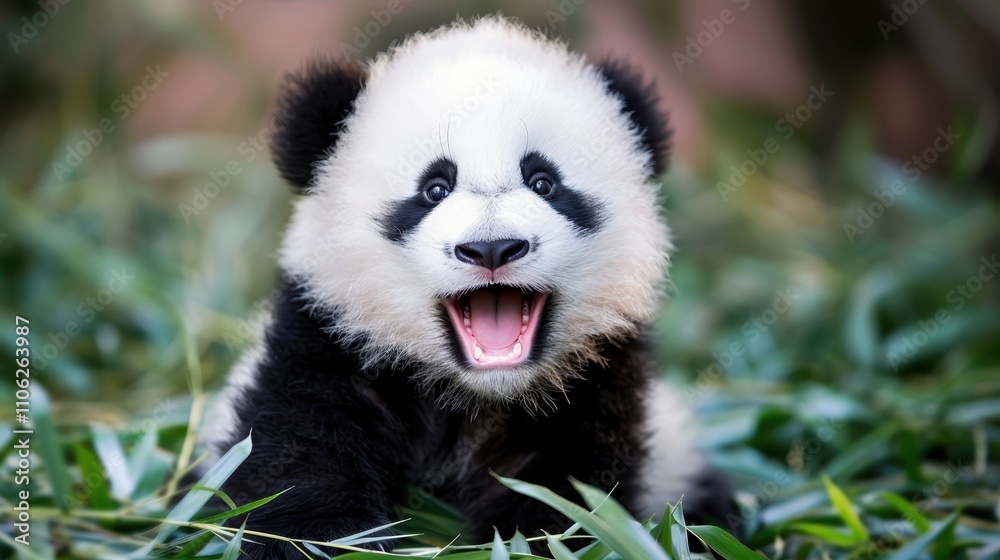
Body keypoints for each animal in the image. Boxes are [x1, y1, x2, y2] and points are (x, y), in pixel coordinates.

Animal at [209, 16, 734, 559]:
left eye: (543, 182)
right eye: (434, 189)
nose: (492, 248)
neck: (474, 396)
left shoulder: (596, 381)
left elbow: (570, 498)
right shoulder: (325, 337)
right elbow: (298, 459)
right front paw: (317, 539)